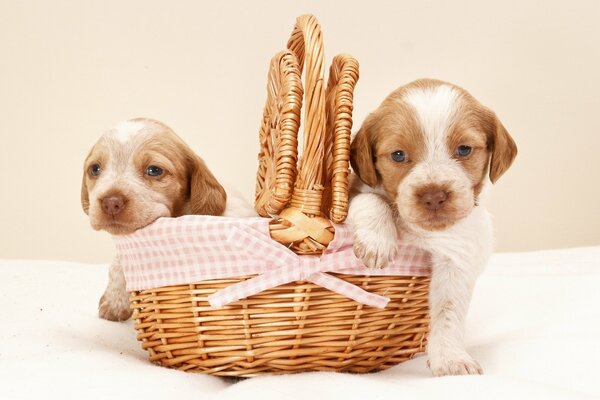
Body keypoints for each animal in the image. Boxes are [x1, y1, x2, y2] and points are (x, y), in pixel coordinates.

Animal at [350, 79, 516, 376]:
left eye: (464, 149)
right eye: (398, 155)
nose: (434, 195)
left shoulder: (456, 260)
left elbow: (448, 311)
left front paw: (451, 358)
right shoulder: (352, 192)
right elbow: (370, 199)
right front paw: (376, 242)